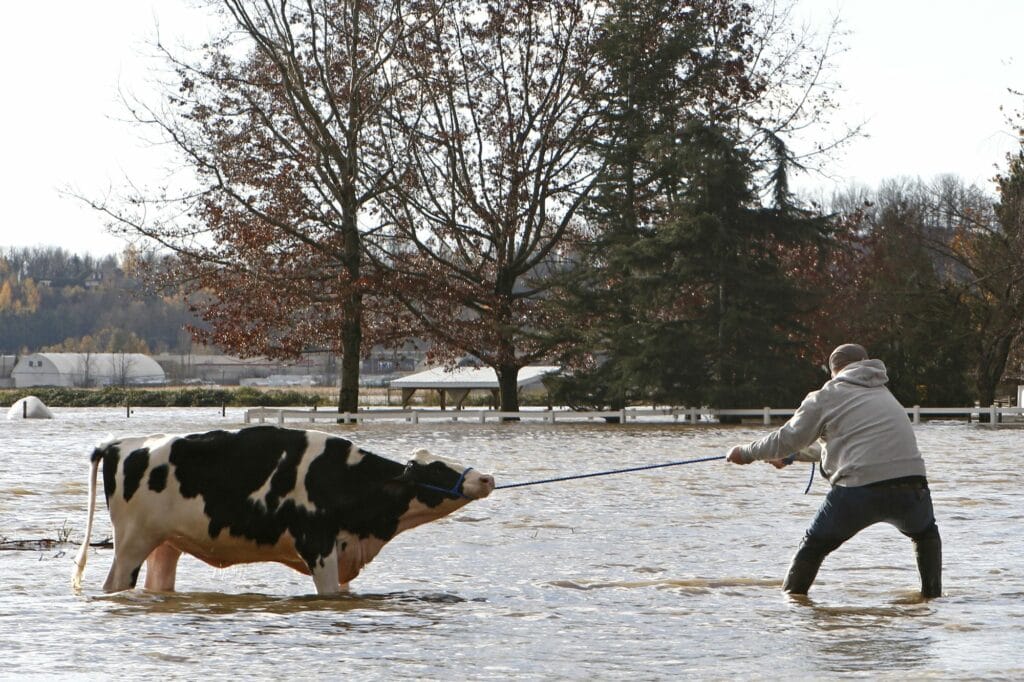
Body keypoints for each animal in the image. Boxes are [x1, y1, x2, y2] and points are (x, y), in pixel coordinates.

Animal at [70, 421, 493, 593]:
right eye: (436, 468)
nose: (486, 477)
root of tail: (118, 443)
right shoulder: (317, 546)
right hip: (131, 543)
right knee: (115, 584)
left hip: (165, 545)